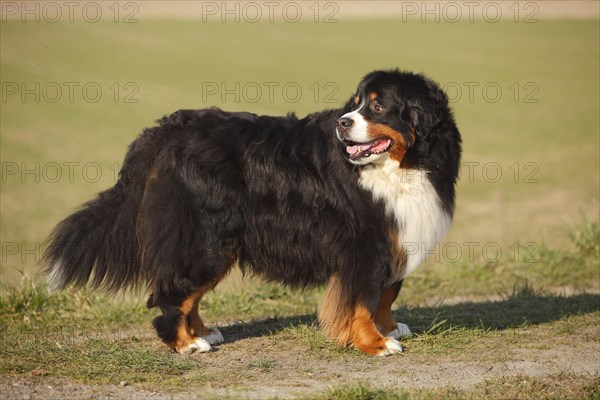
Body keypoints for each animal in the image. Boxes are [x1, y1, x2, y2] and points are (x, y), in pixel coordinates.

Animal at [44, 69, 462, 356]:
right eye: (355, 104)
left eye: (376, 106)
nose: (342, 123)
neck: (404, 167)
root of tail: (162, 132)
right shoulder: (364, 244)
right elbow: (362, 300)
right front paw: (374, 343)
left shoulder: (396, 236)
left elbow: (387, 292)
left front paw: (389, 328)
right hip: (204, 239)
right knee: (173, 291)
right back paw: (185, 344)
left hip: (220, 242)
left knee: (191, 293)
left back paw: (202, 333)